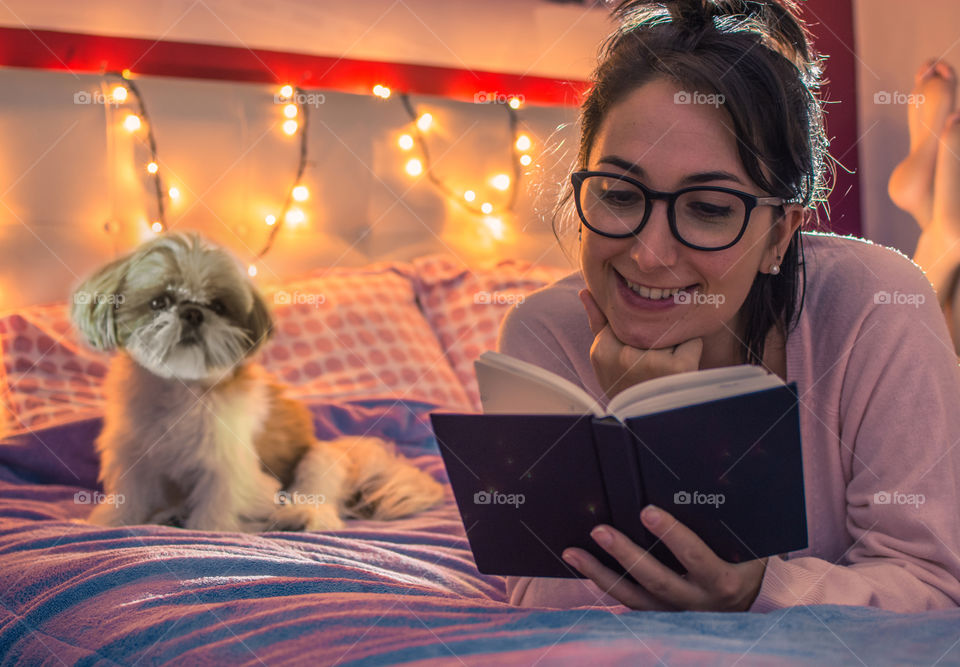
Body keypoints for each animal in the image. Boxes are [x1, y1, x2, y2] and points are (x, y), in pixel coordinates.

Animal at [71, 232, 442, 536]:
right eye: (159, 302)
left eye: (218, 306)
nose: (192, 312)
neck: (181, 388)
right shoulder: (134, 456)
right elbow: (130, 496)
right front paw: (109, 522)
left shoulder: (228, 467)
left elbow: (217, 506)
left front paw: (209, 529)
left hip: (318, 460)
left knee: (321, 507)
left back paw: (297, 518)